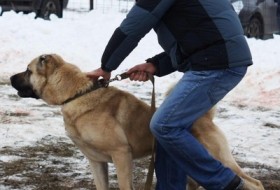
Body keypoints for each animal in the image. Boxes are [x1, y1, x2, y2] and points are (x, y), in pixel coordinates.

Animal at [9, 54, 264, 189]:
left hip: (218, 160)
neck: (76, 94)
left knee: (254, 183)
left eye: (28, 70)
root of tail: (205, 119)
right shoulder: (95, 161)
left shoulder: (122, 155)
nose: (10, 77)